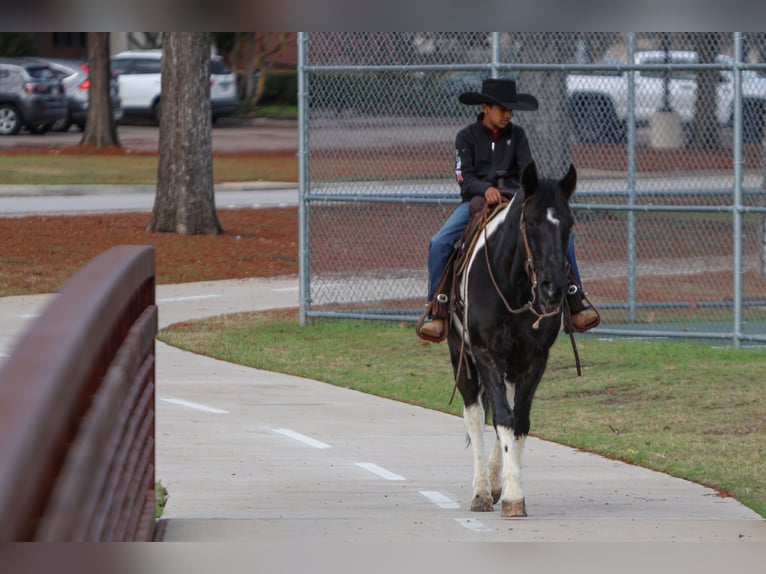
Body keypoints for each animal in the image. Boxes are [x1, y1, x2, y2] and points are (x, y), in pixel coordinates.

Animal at [450, 161, 576, 516]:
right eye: (531, 222)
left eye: (569, 223)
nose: (553, 288)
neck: (513, 286)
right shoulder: (484, 353)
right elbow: (501, 418)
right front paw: (511, 495)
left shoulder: (534, 359)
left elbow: (518, 420)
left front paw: (511, 490)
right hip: (459, 352)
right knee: (476, 414)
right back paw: (481, 490)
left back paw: (495, 482)